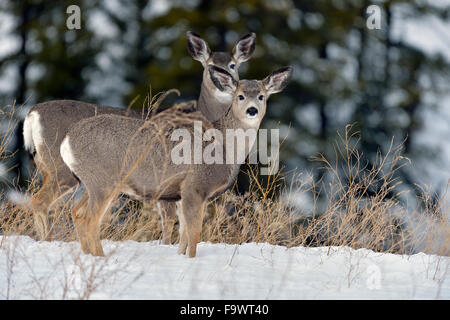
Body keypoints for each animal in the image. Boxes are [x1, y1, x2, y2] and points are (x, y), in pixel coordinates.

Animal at [22, 31, 255, 241]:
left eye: (233, 65)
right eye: (209, 66)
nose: (222, 82)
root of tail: (32, 114)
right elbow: (169, 220)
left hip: (48, 167)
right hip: (61, 168)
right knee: (40, 202)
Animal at [60, 65, 292, 258]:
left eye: (261, 96)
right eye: (240, 96)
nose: (252, 110)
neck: (226, 149)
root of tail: (67, 141)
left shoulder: (182, 194)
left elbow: (183, 234)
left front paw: (181, 257)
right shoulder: (195, 186)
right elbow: (194, 231)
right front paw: (192, 260)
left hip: (93, 182)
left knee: (77, 212)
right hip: (104, 181)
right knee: (90, 220)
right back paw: (100, 257)